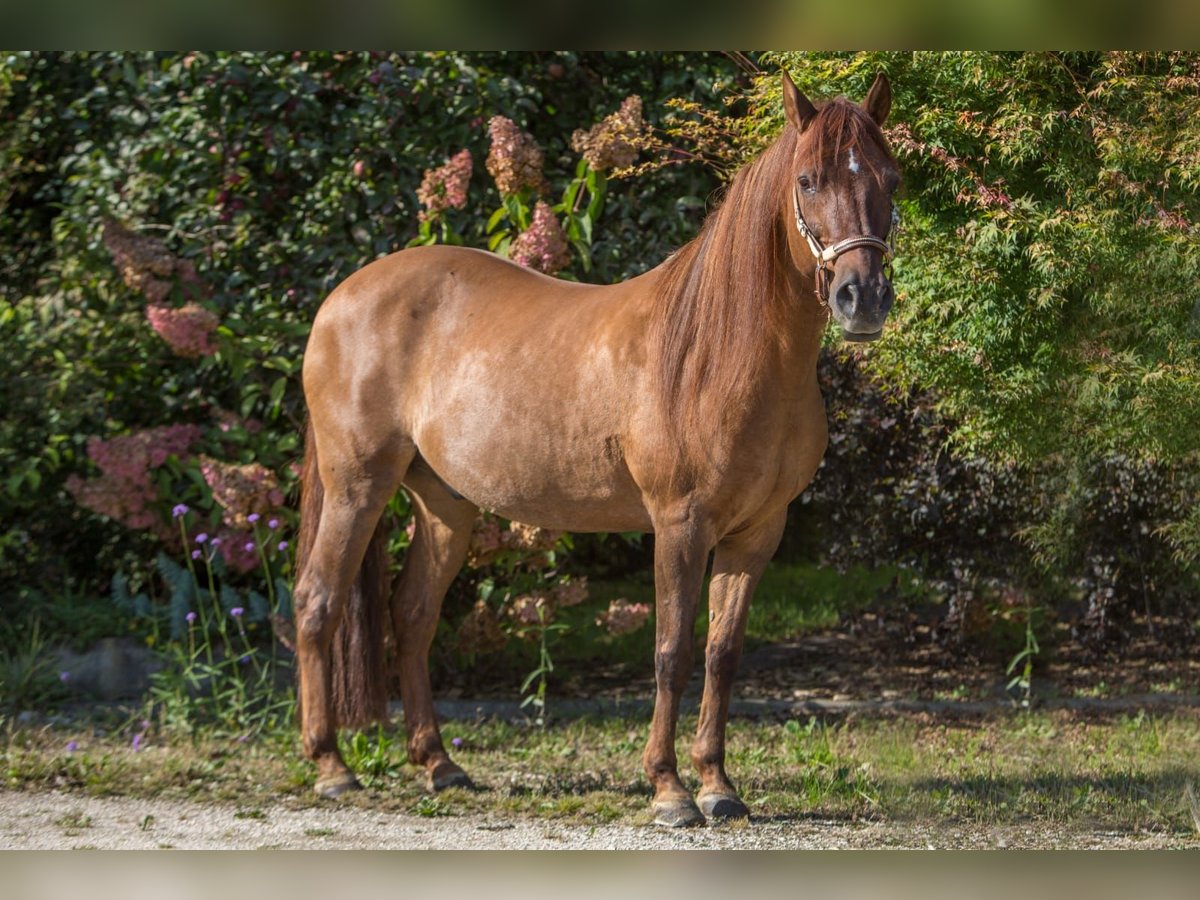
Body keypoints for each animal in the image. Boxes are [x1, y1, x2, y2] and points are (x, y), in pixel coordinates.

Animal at [292, 72, 902, 830]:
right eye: (808, 179)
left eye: (890, 178)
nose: (862, 298)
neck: (720, 353)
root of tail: (340, 298)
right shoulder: (680, 524)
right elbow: (671, 650)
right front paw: (670, 790)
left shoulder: (757, 533)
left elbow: (723, 654)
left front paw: (718, 785)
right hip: (358, 486)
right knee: (317, 601)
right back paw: (330, 768)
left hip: (445, 503)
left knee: (413, 616)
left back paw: (439, 765)